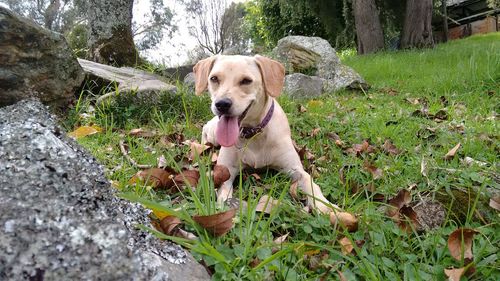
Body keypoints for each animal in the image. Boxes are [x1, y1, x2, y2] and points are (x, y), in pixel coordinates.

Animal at [193, 54, 338, 212]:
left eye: (246, 80)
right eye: (214, 78)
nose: (221, 104)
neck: (253, 133)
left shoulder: (295, 169)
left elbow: (310, 182)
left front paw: (324, 206)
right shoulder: (227, 171)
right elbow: (224, 192)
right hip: (213, 134)